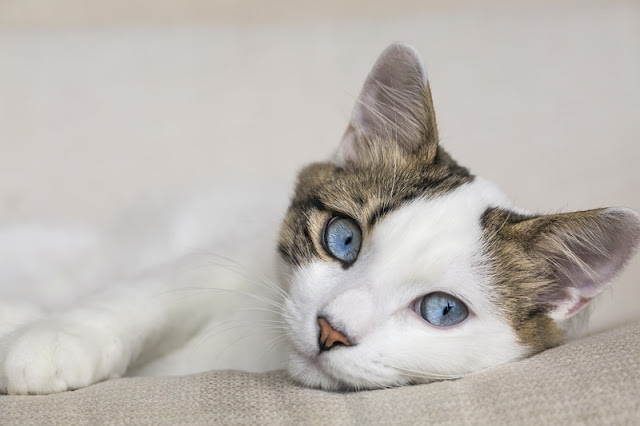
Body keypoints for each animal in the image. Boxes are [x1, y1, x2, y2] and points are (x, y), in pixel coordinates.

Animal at [1, 43, 640, 392]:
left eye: (442, 310)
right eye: (343, 238)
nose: (332, 330)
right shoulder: (229, 258)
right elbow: (148, 294)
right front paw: (59, 339)